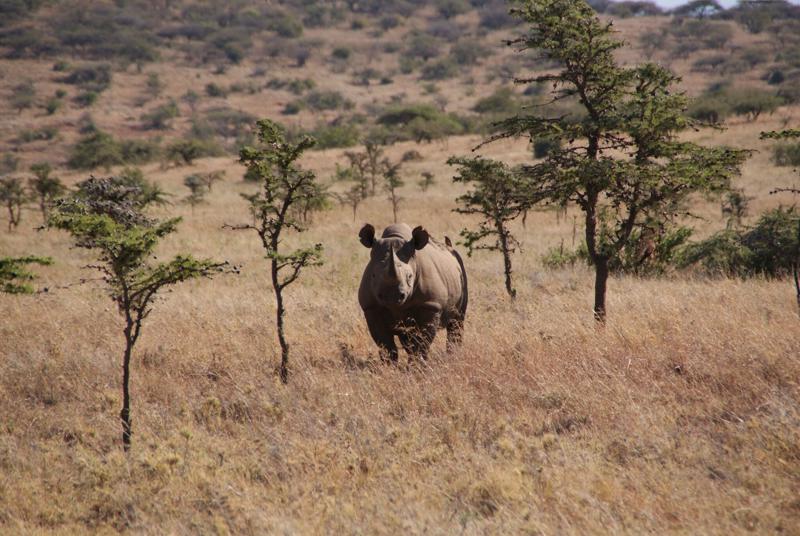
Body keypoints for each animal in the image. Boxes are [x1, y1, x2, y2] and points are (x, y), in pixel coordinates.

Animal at [358, 223, 468, 363]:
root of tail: (449, 248)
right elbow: (386, 344)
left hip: (461, 271)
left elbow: (422, 343)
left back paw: (453, 357)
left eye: (410, 276)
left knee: (457, 321)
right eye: (373, 275)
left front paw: (417, 365)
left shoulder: (431, 306)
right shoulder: (371, 307)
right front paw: (388, 366)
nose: (391, 297)